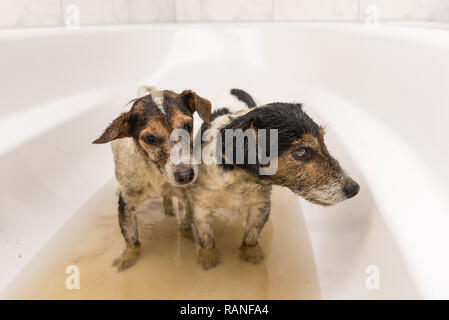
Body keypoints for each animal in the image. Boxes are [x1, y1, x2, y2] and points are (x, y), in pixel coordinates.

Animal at [92, 85, 211, 270]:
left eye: (188, 125)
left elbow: (184, 226)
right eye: (150, 138)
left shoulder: (185, 198)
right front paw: (128, 258)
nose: (186, 175)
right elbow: (131, 240)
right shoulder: (125, 205)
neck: (156, 173)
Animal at [188, 89, 356, 268]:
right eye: (301, 151)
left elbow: (252, 234)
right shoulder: (201, 207)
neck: (240, 183)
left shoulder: (261, 205)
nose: (354, 188)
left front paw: (251, 253)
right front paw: (208, 257)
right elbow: (206, 237)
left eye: (323, 140)